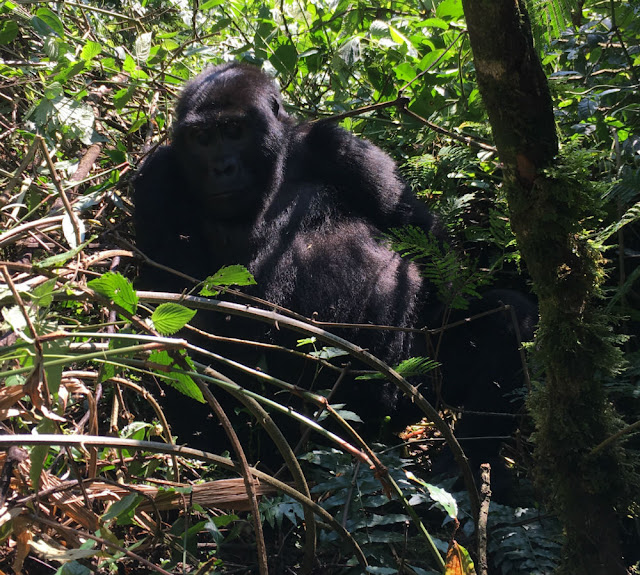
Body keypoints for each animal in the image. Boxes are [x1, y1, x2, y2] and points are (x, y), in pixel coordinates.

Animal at [134, 59, 536, 472]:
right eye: (201, 138)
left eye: (233, 131)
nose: (221, 167)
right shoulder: (157, 175)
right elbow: (171, 302)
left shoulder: (337, 147)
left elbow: (426, 242)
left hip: (415, 392)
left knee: (509, 316)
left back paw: (460, 467)